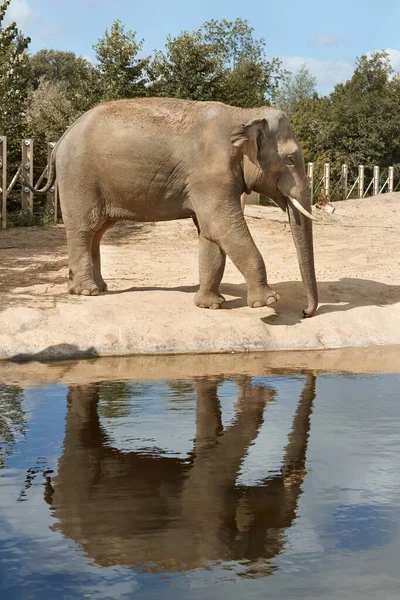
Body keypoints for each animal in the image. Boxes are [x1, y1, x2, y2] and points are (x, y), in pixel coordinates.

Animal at [30, 96, 318, 316]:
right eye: (290, 159)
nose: (304, 312)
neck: (244, 114)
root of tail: (62, 137)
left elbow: (210, 233)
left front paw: (210, 306)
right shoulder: (210, 173)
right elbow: (222, 226)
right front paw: (268, 301)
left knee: (98, 231)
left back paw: (100, 287)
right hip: (78, 176)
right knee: (84, 228)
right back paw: (86, 292)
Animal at [43, 376, 316, 572]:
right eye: (276, 520)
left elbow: (208, 440)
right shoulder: (209, 520)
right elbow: (214, 459)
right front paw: (260, 394)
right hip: (76, 481)